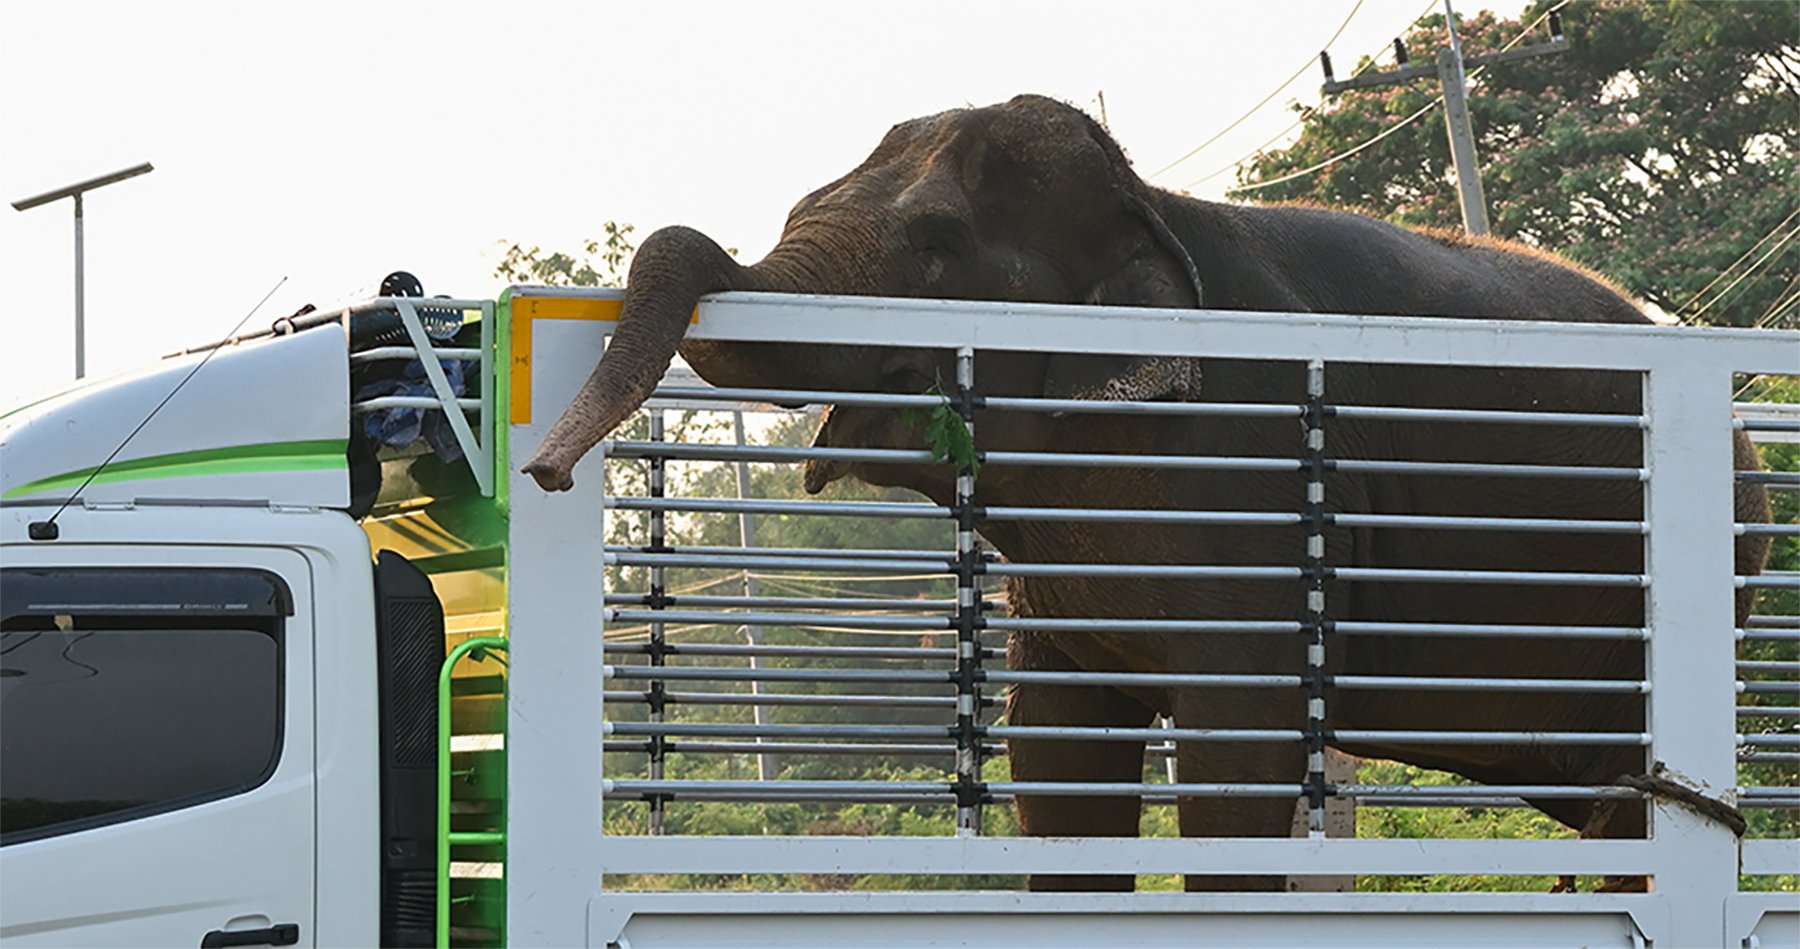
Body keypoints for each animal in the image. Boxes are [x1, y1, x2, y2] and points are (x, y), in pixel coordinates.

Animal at [523, 95, 1771, 891]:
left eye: (935, 244)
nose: (544, 470)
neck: (1154, 199)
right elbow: (1056, 764)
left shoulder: (1254, 488)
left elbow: (1237, 762)